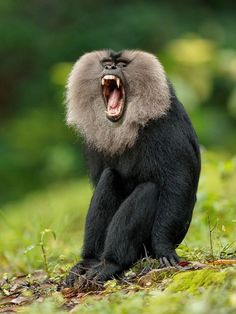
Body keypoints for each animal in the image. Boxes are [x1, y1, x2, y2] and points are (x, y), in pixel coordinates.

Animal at [64, 49, 201, 288]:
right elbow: (103, 179)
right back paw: (89, 262)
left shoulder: (166, 129)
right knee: (109, 178)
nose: (110, 68)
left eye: (122, 64)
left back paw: (111, 264)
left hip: (145, 248)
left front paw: (164, 248)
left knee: (149, 190)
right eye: (106, 63)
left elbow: (177, 187)